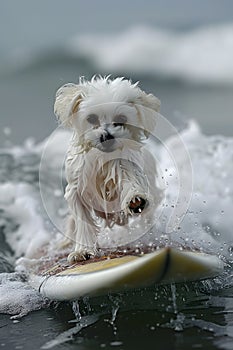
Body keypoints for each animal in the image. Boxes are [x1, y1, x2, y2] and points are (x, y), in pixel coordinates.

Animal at [54, 76, 164, 262]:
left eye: (121, 118)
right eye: (91, 118)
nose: (106, 136)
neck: (102, 159)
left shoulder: (127, 168)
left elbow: (131, 184)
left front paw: (135, 199)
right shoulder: (76, 188)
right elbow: (82, 220)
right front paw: (82, 250)